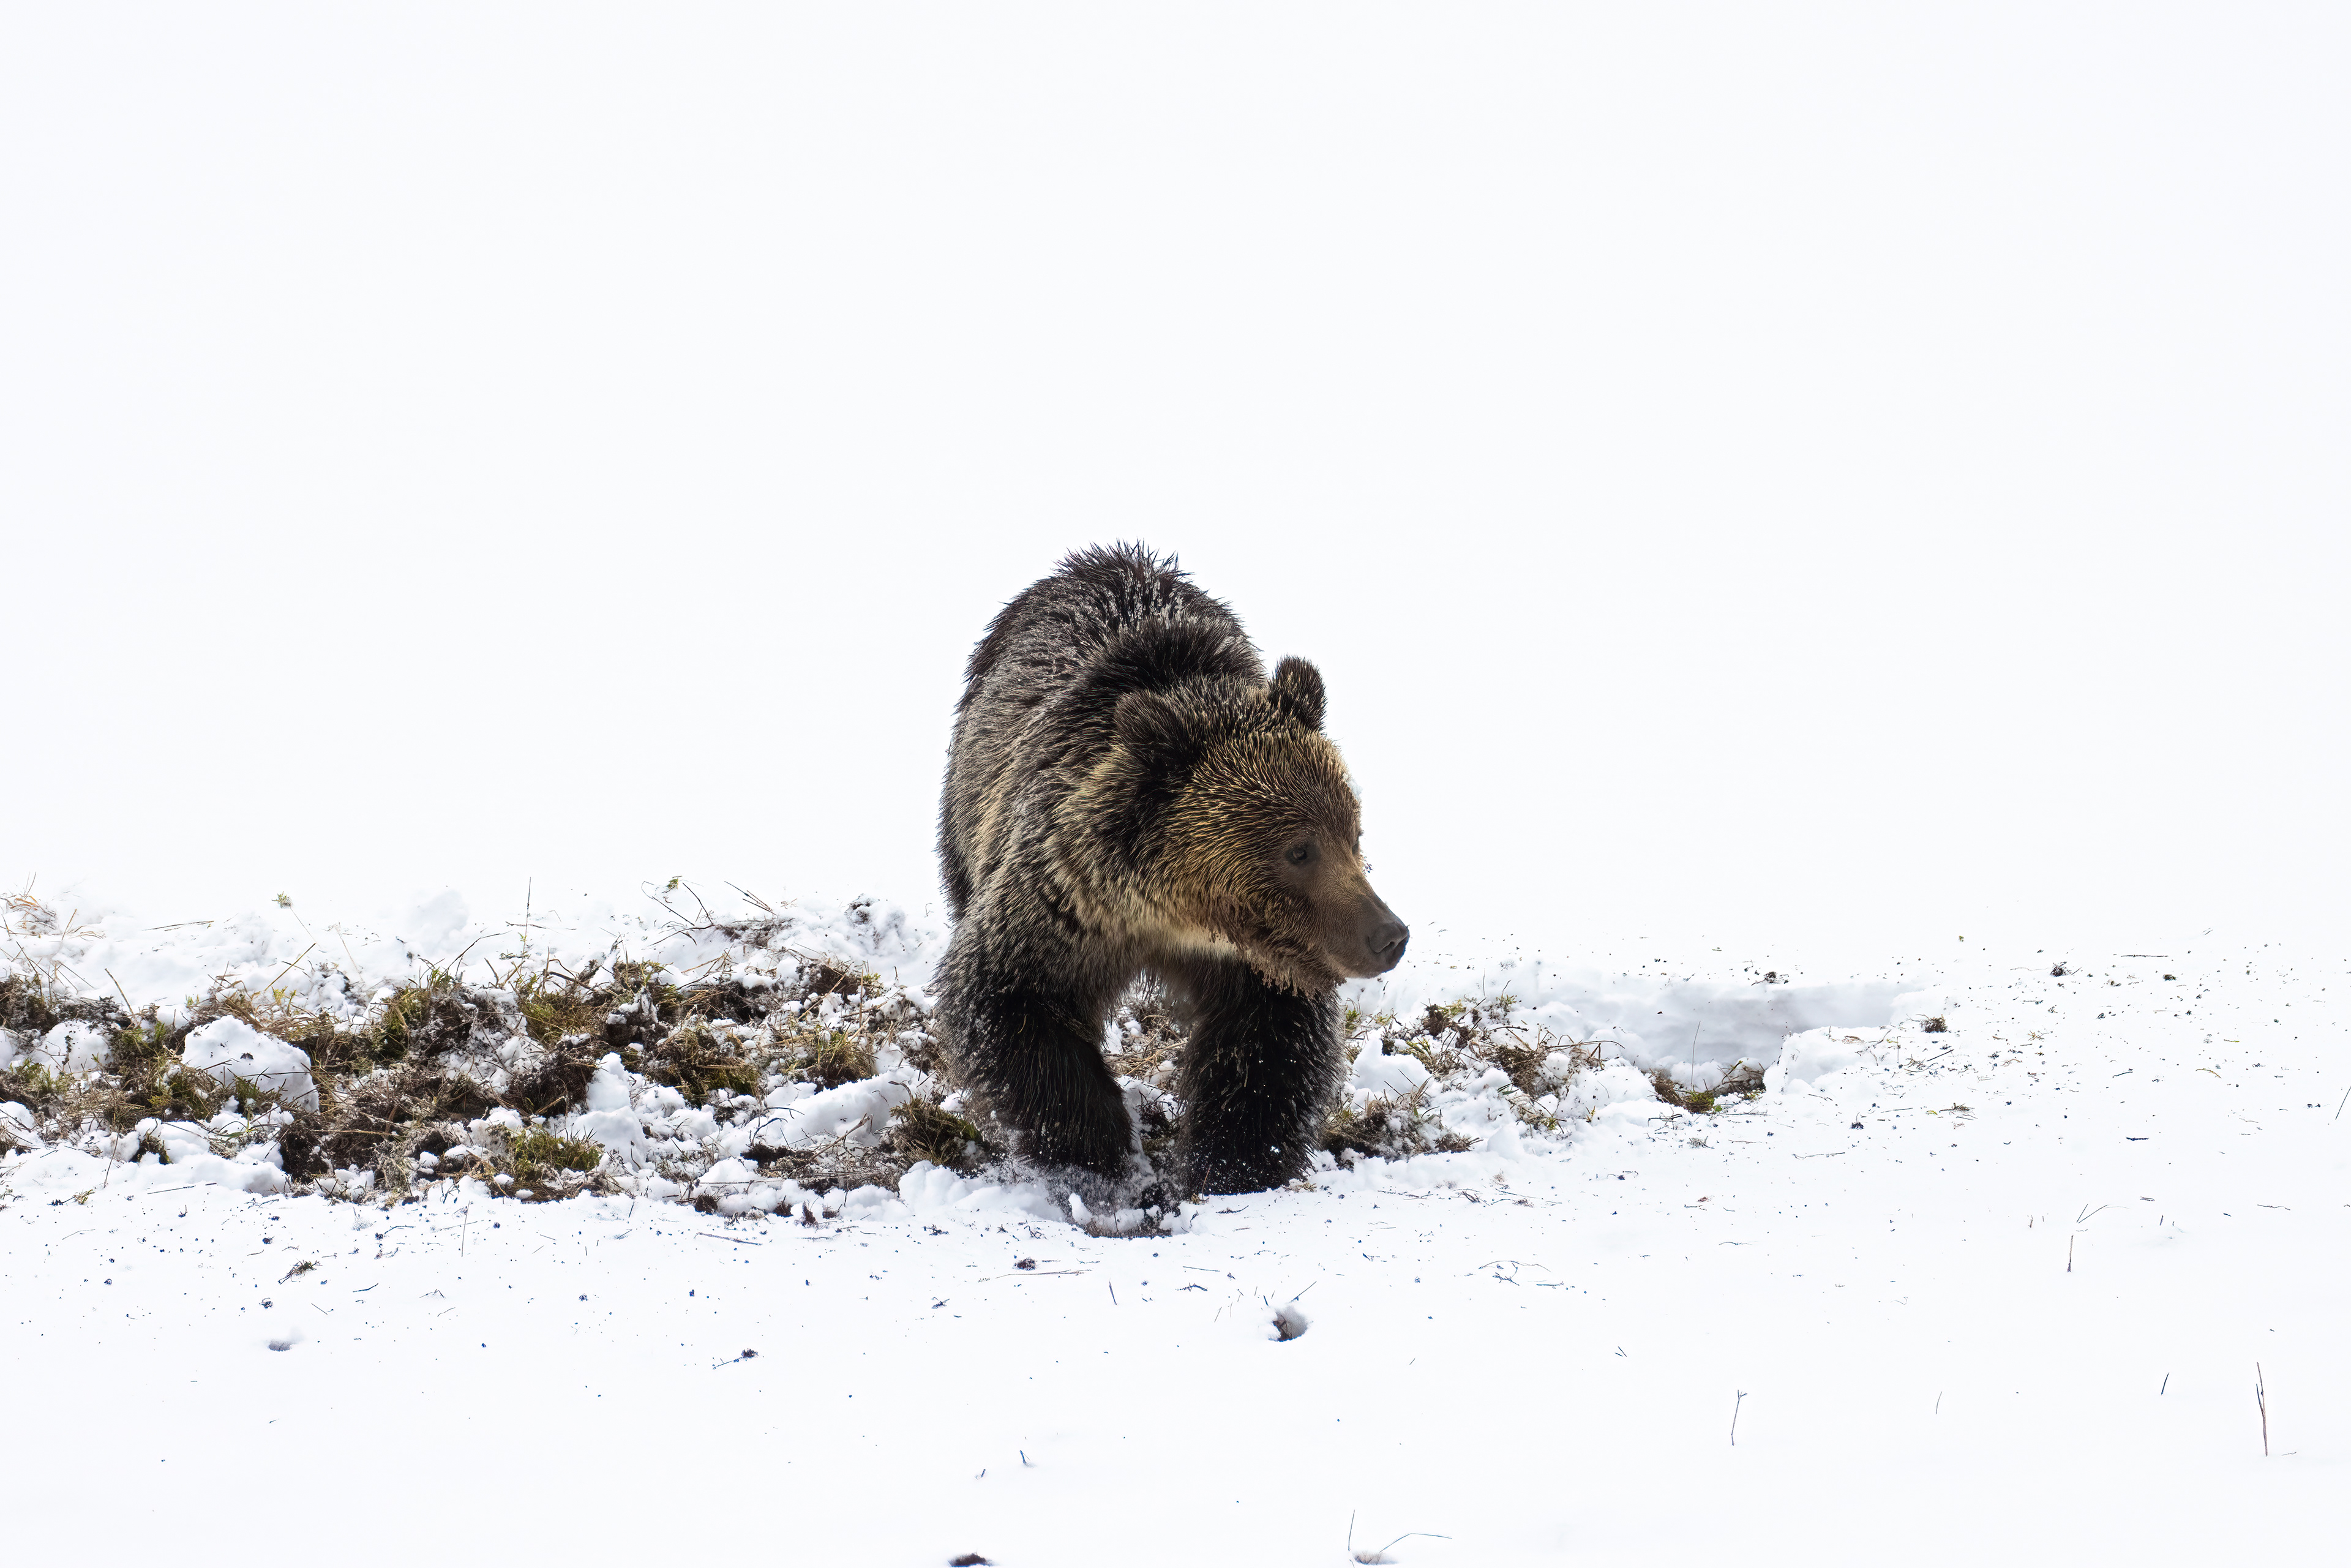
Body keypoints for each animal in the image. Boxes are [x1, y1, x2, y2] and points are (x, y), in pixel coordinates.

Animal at [936, 543, 1408, 1197]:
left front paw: (1234, 1163)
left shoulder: (1259, 961)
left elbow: (1268, 1046)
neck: (1174, 914)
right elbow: (1007, 999)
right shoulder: (1064, 904)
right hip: (967, 809)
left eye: (1353, 833)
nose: (1390, 934)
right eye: (1299, 850)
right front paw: (1098, 1158)